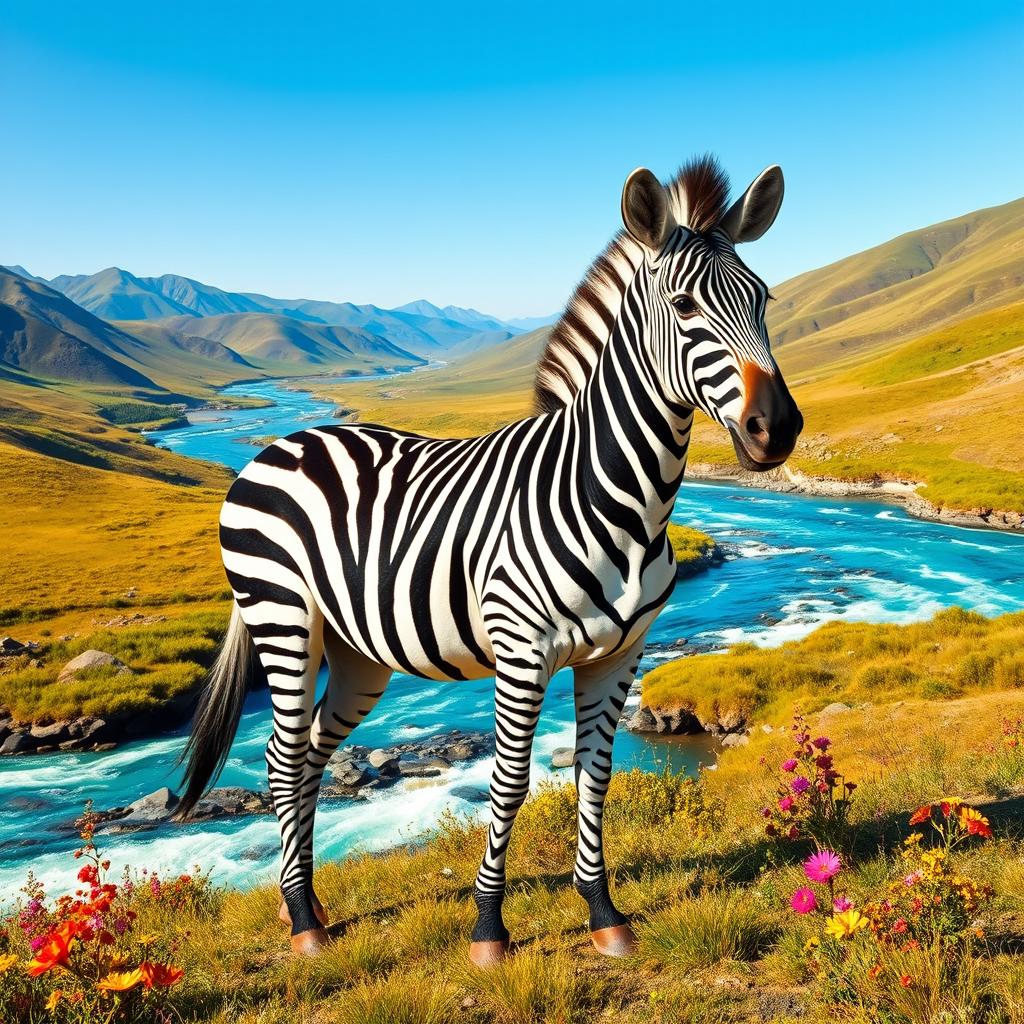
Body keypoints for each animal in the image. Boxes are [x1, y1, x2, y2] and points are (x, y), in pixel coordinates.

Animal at [177, 154, 802, 964]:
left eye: (765, 299)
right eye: (684, 305)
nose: (777, 428)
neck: (614, 494)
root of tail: (279, 444)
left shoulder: (620, 654)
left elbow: (595, 776)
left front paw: (603, 912)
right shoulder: (521, 649)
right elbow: (510, 784)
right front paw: (488, 929)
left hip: (356, 653)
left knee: (312, 757)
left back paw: (309, 903)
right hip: (284, 620)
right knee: (283, 764)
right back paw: (304, 925)